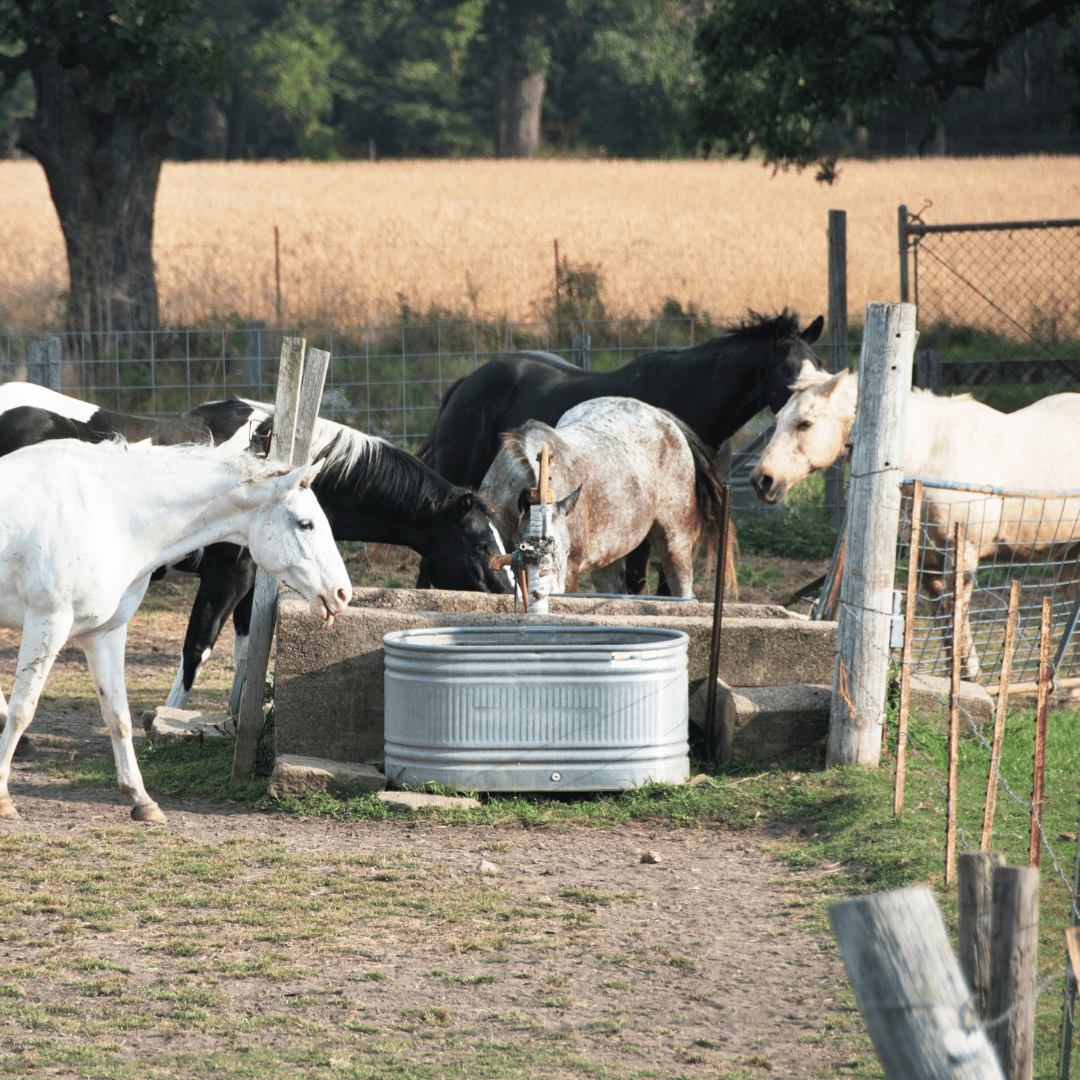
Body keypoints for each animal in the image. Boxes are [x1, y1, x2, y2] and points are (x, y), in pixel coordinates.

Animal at [0, 386, 511, 708]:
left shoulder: (252, 582)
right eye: (480, 542)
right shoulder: (230, 574)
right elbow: (197, 648)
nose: (509, 594)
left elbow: (246, 652)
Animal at [0, 434, 349, 820]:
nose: (342, 593)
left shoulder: (104, 633)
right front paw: (3, 799)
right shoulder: (47, 623)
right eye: (305, 524)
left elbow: (117, 715)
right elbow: (22, 709)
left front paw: (141, 799)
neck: (106, 513)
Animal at [475, 397, 721, 604]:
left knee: (683, 589)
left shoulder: (572, 567)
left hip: (675, 541)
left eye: (565, 551)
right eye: (526, 552)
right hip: (609, 556)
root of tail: (662, 416)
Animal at [751, 369, 1080, 673]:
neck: (925, 456)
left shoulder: (963, 555)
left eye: (805, 423)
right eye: (778, 418)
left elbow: (955, 615)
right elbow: (944, 621)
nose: (761, 480)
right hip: (1066, 558)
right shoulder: (926, 559)